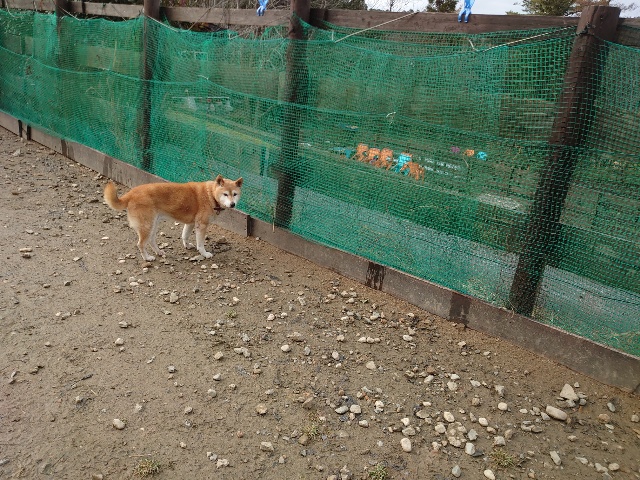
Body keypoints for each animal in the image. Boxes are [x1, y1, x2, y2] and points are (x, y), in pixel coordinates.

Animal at [103, 175, 243, 261]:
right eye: (225, 194)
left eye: (235, 194)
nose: (232, 204)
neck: (211, 195)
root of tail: (130, 193)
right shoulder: (201, 225)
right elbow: (201, 244)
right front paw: (204, 254)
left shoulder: (191, 223)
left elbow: (184, 236)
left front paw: (187, 245)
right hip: (147, 226)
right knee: (141, 244)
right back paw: (147, 258)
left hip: (152, 224)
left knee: (151, 240)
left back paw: (159, 252)